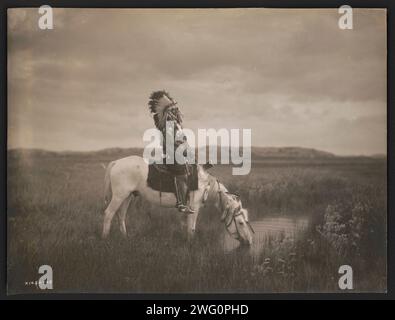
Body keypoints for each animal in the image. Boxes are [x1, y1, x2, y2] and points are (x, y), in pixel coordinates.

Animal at [102, 156, 255, 246]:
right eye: (241, 223)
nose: (249, 242)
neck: (205, 184)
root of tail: (116, 162)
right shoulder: (194, 207)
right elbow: (191, 228)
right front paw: (190, 245)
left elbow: (188, 227)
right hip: (119, 196)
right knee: (109, 214)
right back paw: (105, 239)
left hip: (127, 196)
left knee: (121, 216)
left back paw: (125, 238)